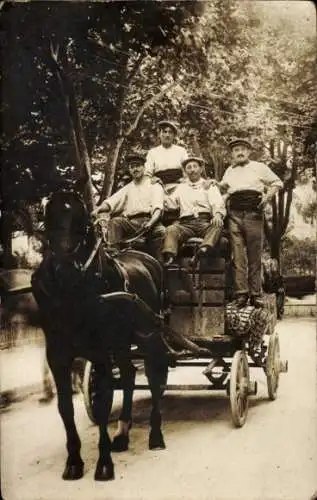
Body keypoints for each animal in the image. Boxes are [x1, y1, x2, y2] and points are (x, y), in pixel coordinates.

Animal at [30, 190, 170, 480]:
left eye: (81, 221)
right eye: (49, 218)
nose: (64, 270)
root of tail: (149, 259)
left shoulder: (102, 353)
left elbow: (104, 403)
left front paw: (104, 463)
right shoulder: (57, 356)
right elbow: (65, 407)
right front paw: (73, 461)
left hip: (149, 337)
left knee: (154, 380)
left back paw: (155, 435)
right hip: (123, 343)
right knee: (128, 376)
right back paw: (123, 432)